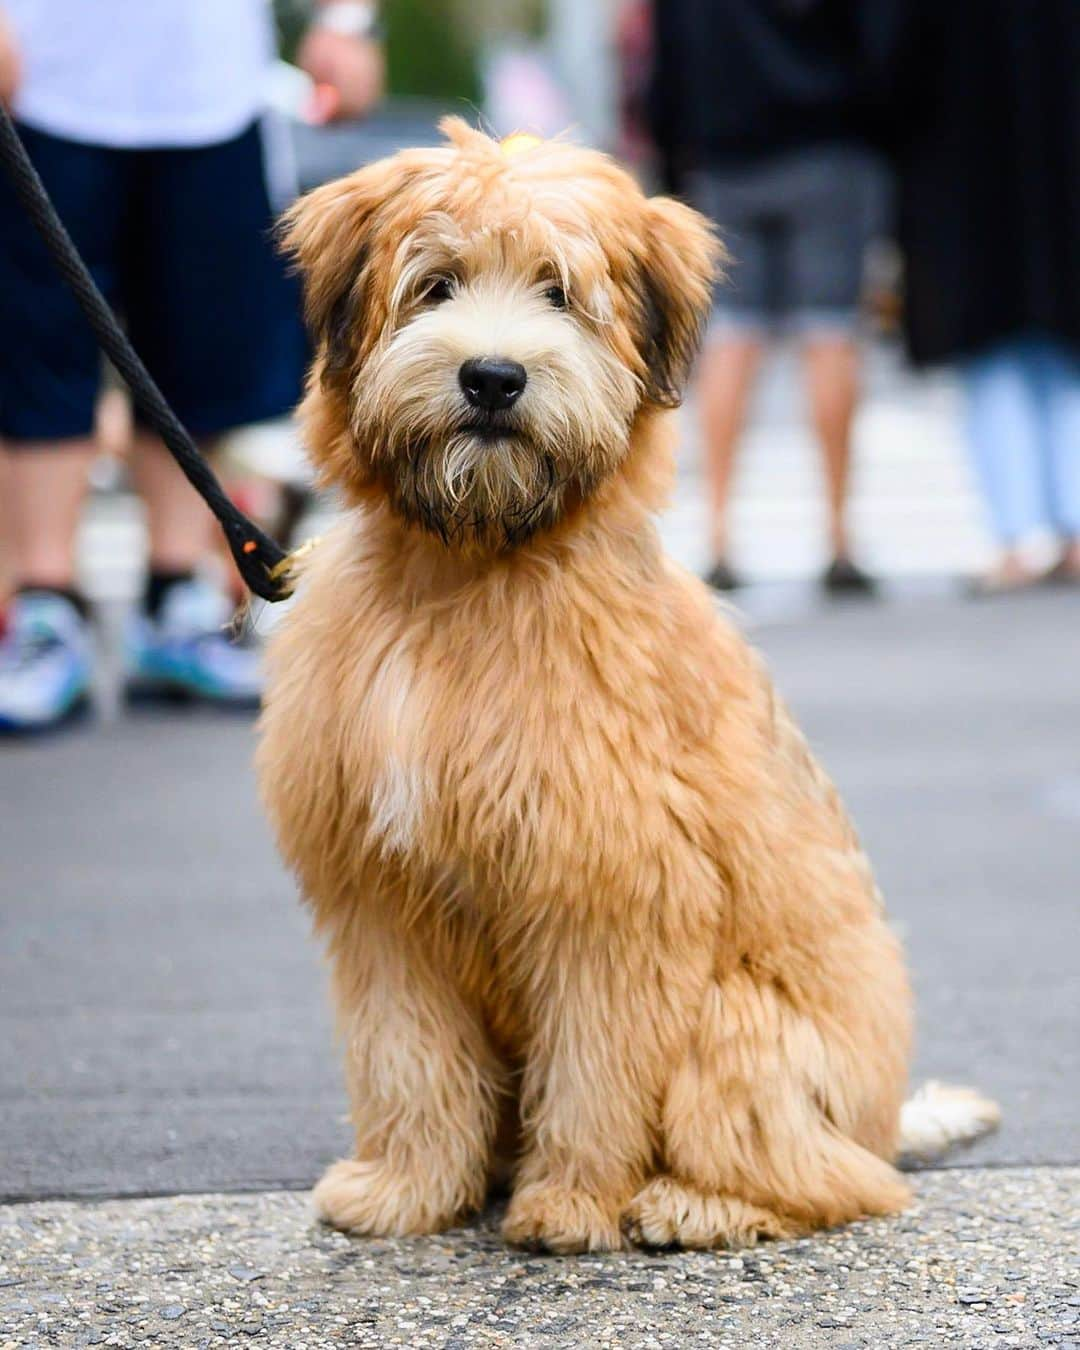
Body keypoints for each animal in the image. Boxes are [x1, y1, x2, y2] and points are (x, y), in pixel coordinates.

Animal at [257, 121, 999, 1247]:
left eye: (560, 292)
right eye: (435, 285)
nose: (492, 378)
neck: (471, 574)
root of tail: (881, 1120)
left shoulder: (612, 891)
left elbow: (597, 1065)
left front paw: (570, 1201)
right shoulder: (381, 898)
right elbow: (408, 1052)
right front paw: (407, 1189)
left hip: (745, 1023)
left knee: (833, 1177)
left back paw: (694, 1202)